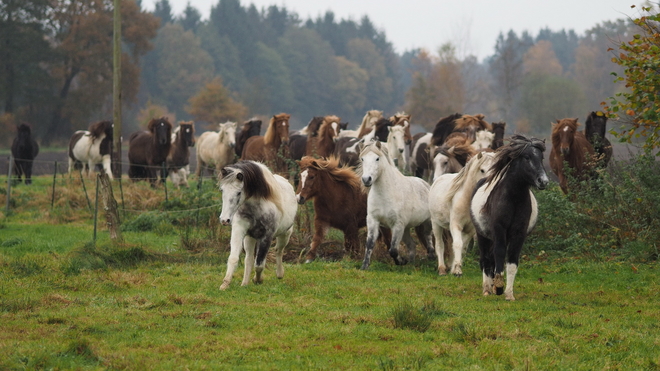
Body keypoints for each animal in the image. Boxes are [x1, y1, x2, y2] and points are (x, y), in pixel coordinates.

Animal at [219, 161, 296, 290]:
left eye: (239, 192)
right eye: (222, 190)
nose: (224, 220)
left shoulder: (267, 236)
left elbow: (259, 264)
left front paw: (258, 280)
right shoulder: (239, 230)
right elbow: (234, 258)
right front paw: (225, 284)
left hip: (285, 234)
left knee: (278, 250)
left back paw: (279, 274)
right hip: (249, 238)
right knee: (249, 259)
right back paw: (244, 284)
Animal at [472, 135, 548, 300]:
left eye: (541, 157)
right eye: (527, 157)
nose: (543, 181)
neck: (513, 199)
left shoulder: (519, 233)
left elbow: (512, 262)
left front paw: (508, 293)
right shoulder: (499, 229)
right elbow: (499, 253)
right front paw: (499, 287)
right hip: (482, 235)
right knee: (486, 259)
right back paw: (487, 289)